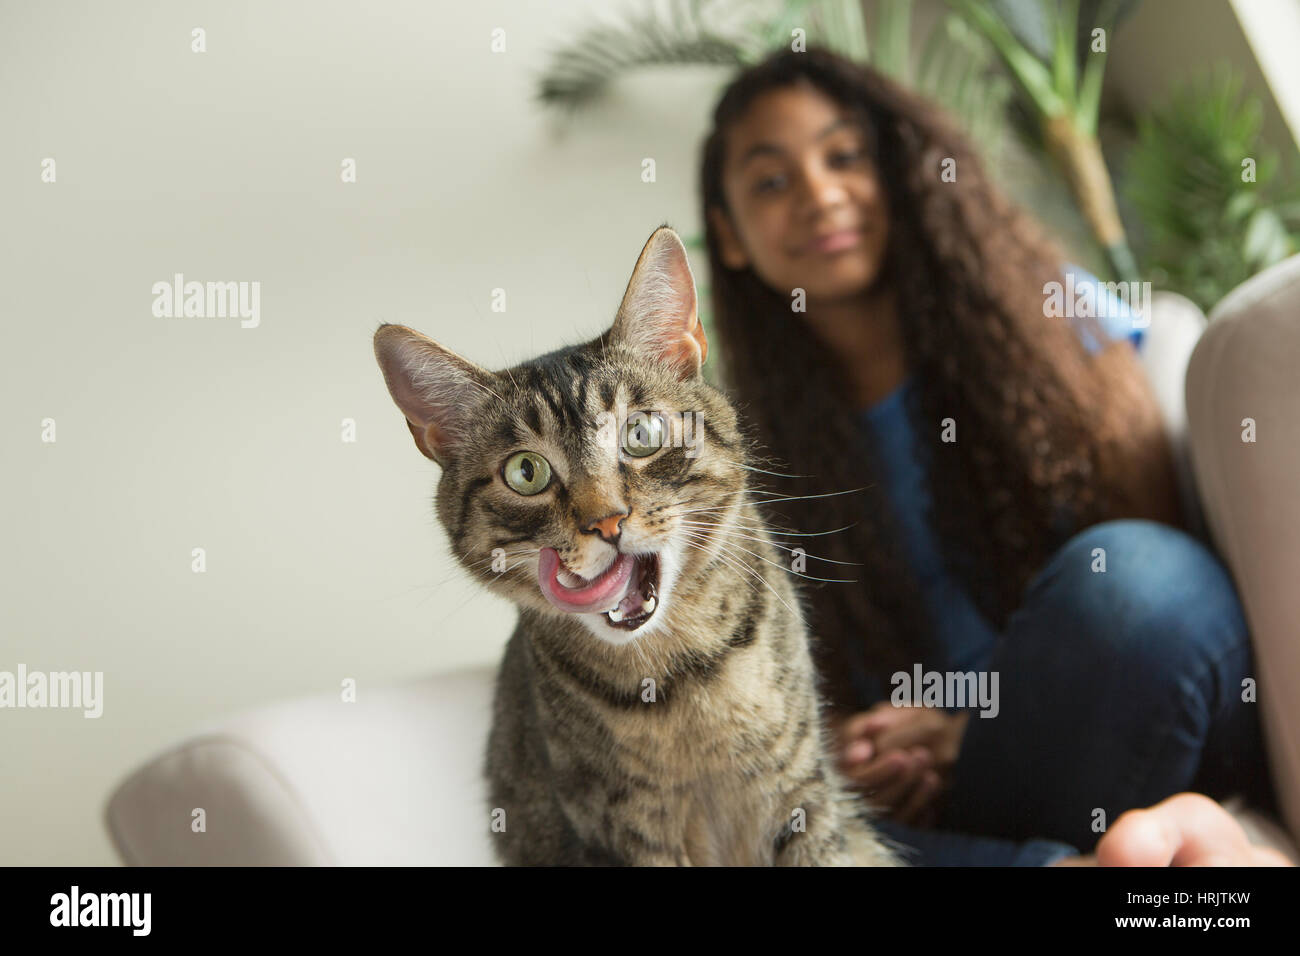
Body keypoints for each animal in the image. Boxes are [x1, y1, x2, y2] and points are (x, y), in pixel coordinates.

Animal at [377, 223, 899, 868]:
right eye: (526, 472)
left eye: (641, 433)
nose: (606, 521)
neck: (679, 675)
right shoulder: (618, 832)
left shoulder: (801, 793)